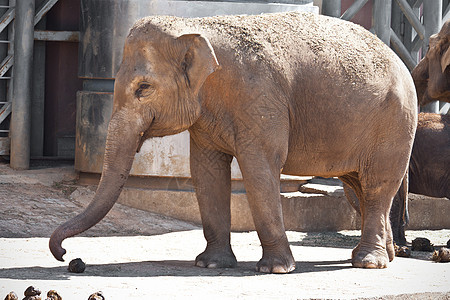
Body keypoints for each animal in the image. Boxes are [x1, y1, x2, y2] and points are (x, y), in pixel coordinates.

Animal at [50, 12, 418, 274]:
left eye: (143, 88)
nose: (66, 254)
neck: (197, 27)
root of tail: (403, 60)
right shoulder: (208, 115)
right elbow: (206, 173)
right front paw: (209, 264)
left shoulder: (260, 98)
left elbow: (259, 169)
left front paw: (276, 269)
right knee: (358, 189)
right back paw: (387, 256)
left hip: (395, 124)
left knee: (377, 185)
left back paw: (368, 262)